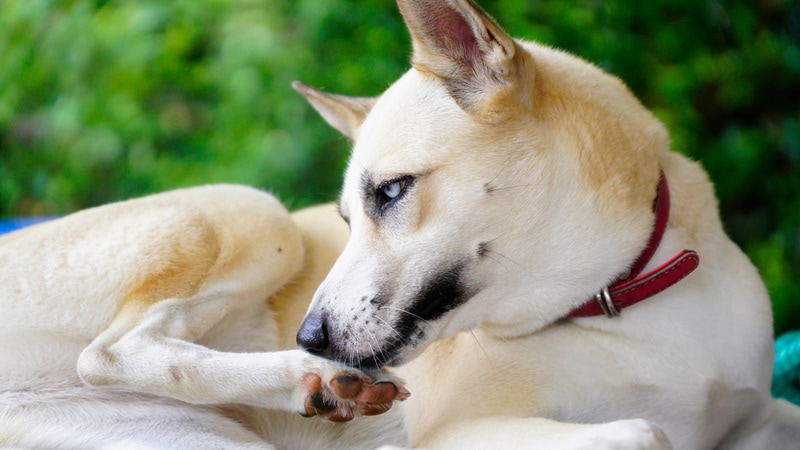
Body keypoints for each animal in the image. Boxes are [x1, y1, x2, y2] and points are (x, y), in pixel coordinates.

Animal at [290, 0, 800, 446]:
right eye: (347, 220)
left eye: (392, 190)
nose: (308, 339)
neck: (619, 298)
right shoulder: (452, 434)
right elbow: (644, 430)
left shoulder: (764, 414)